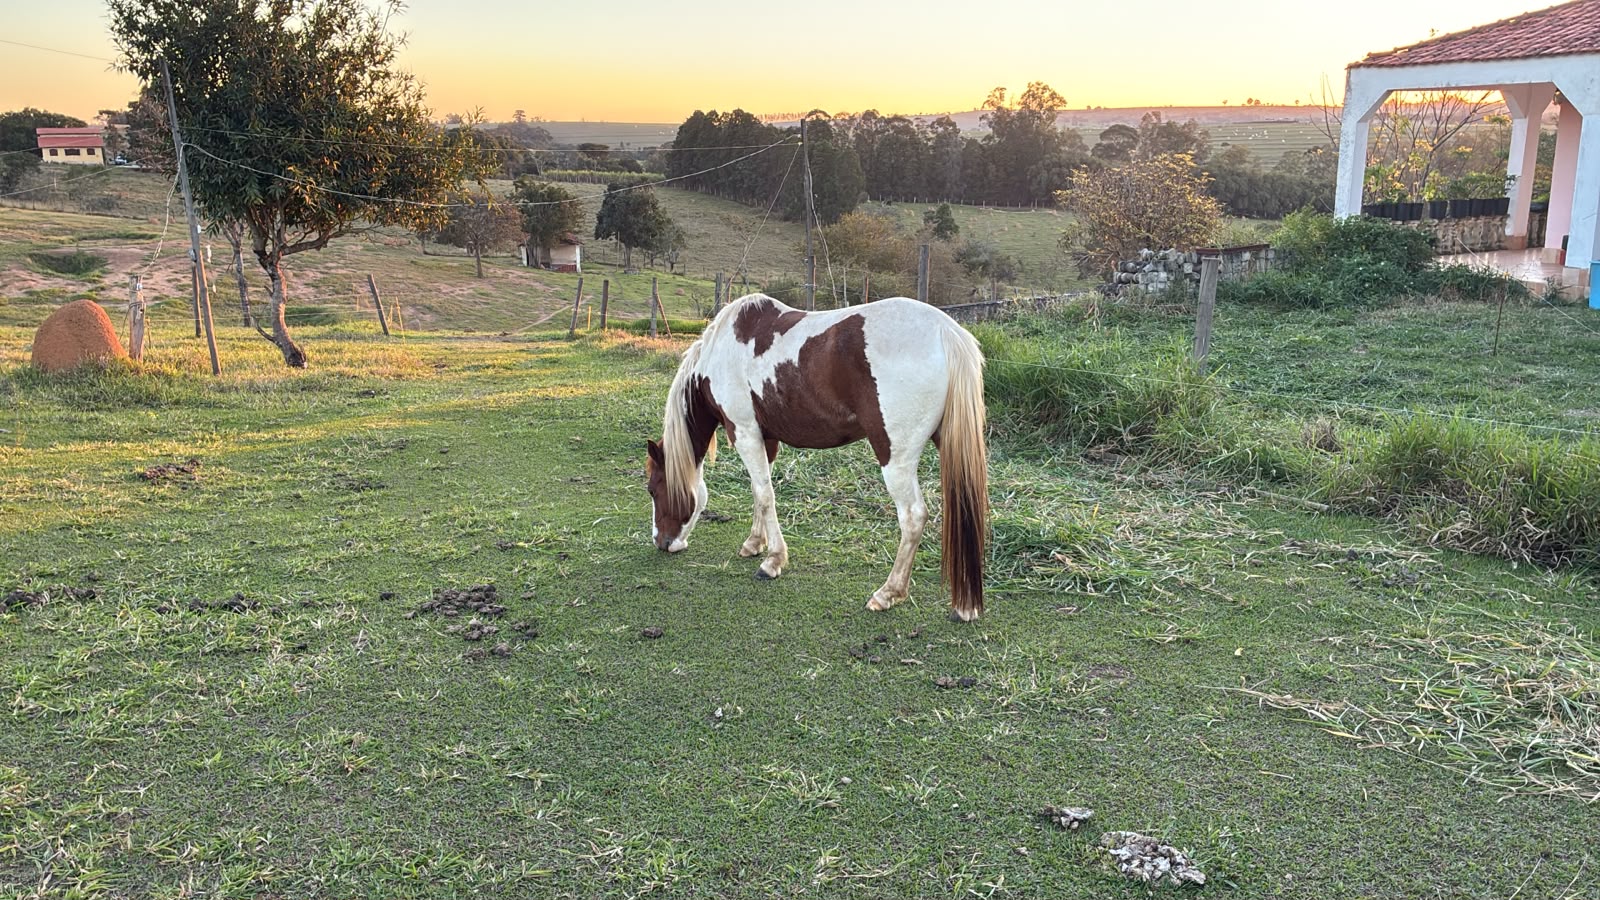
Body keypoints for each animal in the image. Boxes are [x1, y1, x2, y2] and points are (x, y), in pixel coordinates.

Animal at [644, 293, 989, 620]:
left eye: (653, 489)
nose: (662, 542)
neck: (720, 351)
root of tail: (946, 331)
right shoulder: (766, 438)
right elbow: (758, 491)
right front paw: (754, 544)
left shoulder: (744, 433)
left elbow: (765, 495)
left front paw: (773, 561)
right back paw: (963, 607)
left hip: (895, 458)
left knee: (913, 517)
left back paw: (887, 593)